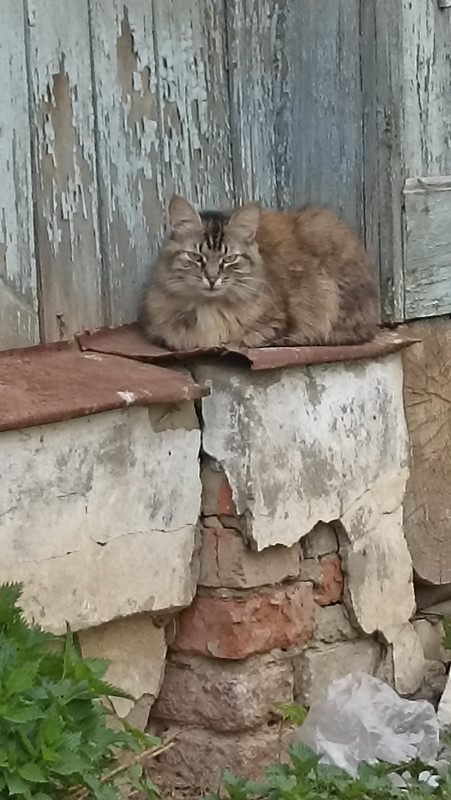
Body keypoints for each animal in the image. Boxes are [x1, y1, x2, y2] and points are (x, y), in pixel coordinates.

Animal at [140, 195, 379, 350]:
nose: (212, 278)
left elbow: (243, 340)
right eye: (196, 257)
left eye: (229, 259)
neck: (210, 308)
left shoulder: (276, 323)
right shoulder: (158, 331)